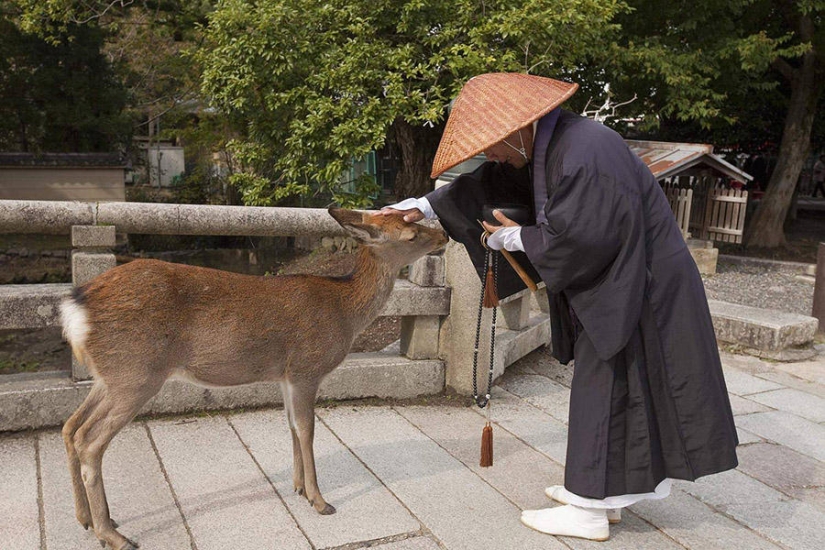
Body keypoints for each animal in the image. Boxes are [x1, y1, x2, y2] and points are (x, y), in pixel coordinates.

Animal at [59, 208, 448, 550]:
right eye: (412, 234)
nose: (444, 234)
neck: (346, 311)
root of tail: (75, 308)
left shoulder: (286, 376)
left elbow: (292, 426)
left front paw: (298, 488)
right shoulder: (307, 368)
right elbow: (307, 429)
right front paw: (320, 501)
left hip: (110, 376)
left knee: (71, 427)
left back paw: (88, 519)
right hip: (137, 374)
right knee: (90, 441)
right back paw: (114, 535)